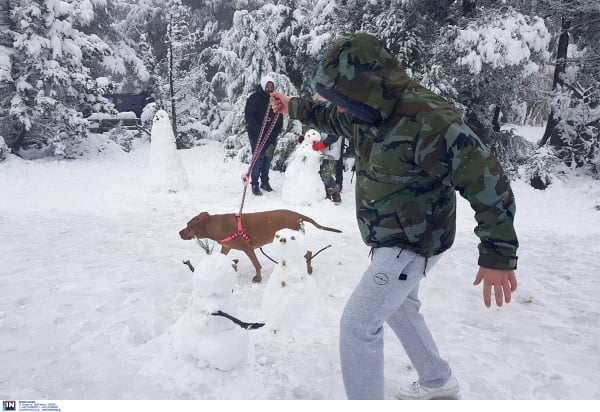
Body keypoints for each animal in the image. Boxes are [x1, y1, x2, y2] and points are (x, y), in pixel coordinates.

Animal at [179, 209, 342, 284]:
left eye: (188, 226)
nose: (179, 233)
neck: (216, 225)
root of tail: (297, 215)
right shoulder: (226, 246)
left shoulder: (248, 248)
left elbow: (256, 264)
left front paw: (258, 278)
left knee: (308, 253)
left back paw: (308, 269)